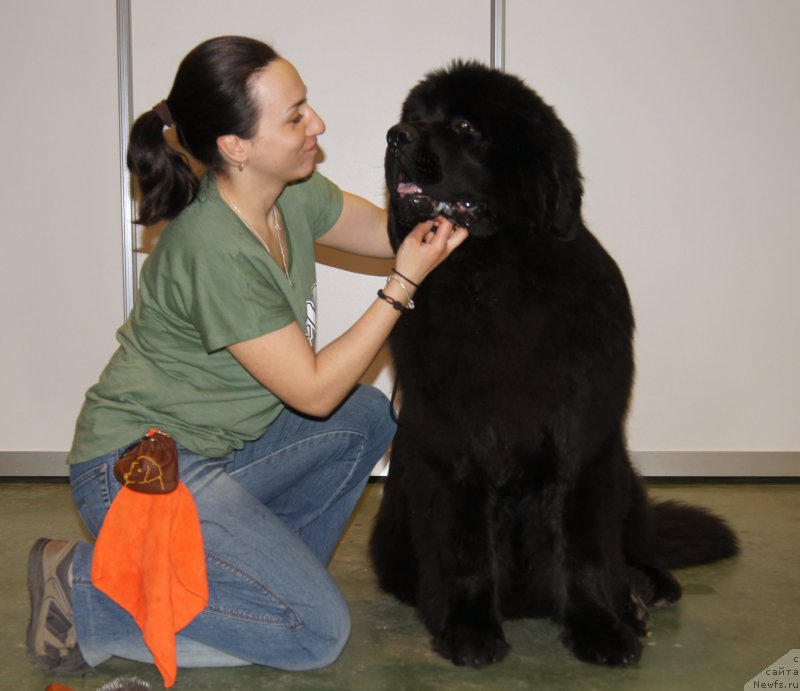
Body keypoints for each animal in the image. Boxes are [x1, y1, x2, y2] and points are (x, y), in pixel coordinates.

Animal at [368, 62, 736, 668]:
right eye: (415, 116)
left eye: (465, 126)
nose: (396, 135)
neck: (493, 277)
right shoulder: (454, 451)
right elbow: (465, 546)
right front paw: (469, 628)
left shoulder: (581, 444)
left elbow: (582, 547)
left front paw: (600, 626)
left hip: (623, 473)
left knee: (634, 549)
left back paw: (642, 592)